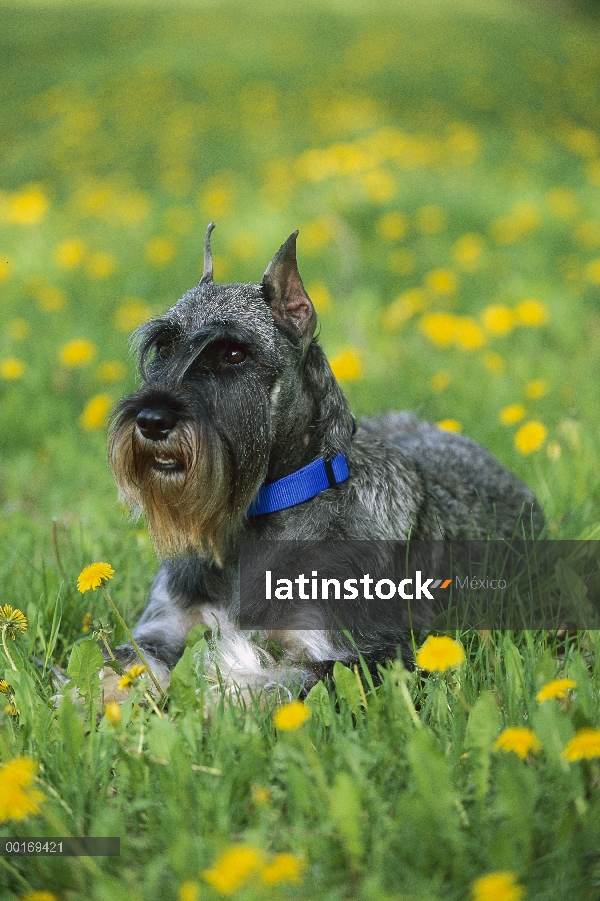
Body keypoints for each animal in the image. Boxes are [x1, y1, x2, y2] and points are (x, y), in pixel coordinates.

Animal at [104, 221, 544, 700]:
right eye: (164, 346)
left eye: (234, 353)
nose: (151, 420)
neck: (263, 514)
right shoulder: (162, 627)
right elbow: (127, 665)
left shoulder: (371, 656)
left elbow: (279, 678)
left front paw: (224, 686)